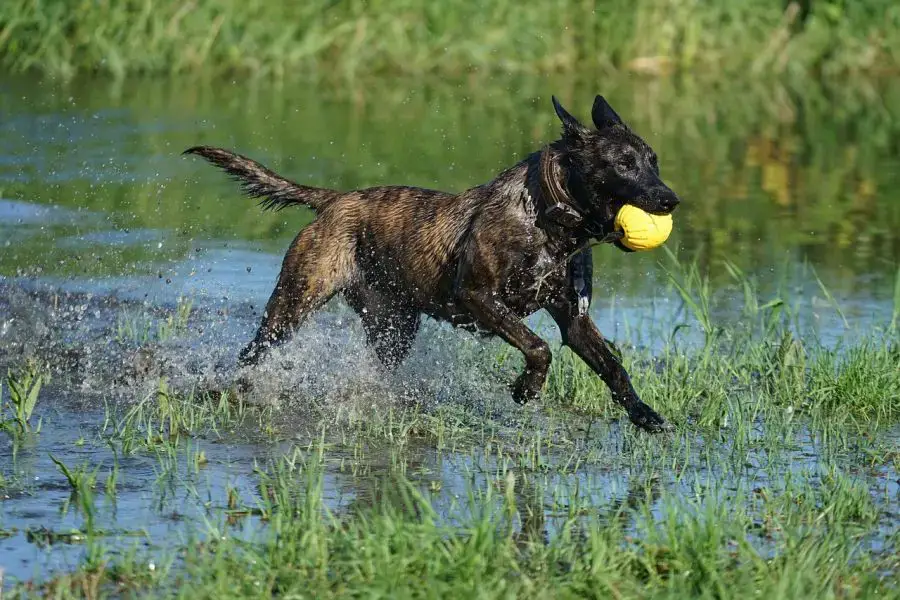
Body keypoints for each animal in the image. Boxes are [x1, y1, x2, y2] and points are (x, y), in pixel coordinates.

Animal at [185, 95, 684, 432]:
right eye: (623, 163)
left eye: (653, 161)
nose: (669, 199)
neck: (549, 220)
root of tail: (334, 200)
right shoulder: (478, 297)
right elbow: (537, 346)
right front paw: (526, 389)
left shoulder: (573, 320)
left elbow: (612, 366)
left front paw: (644, 414)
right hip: (293, 303)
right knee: (254, 350)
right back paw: (227, 388)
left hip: (393, 326)